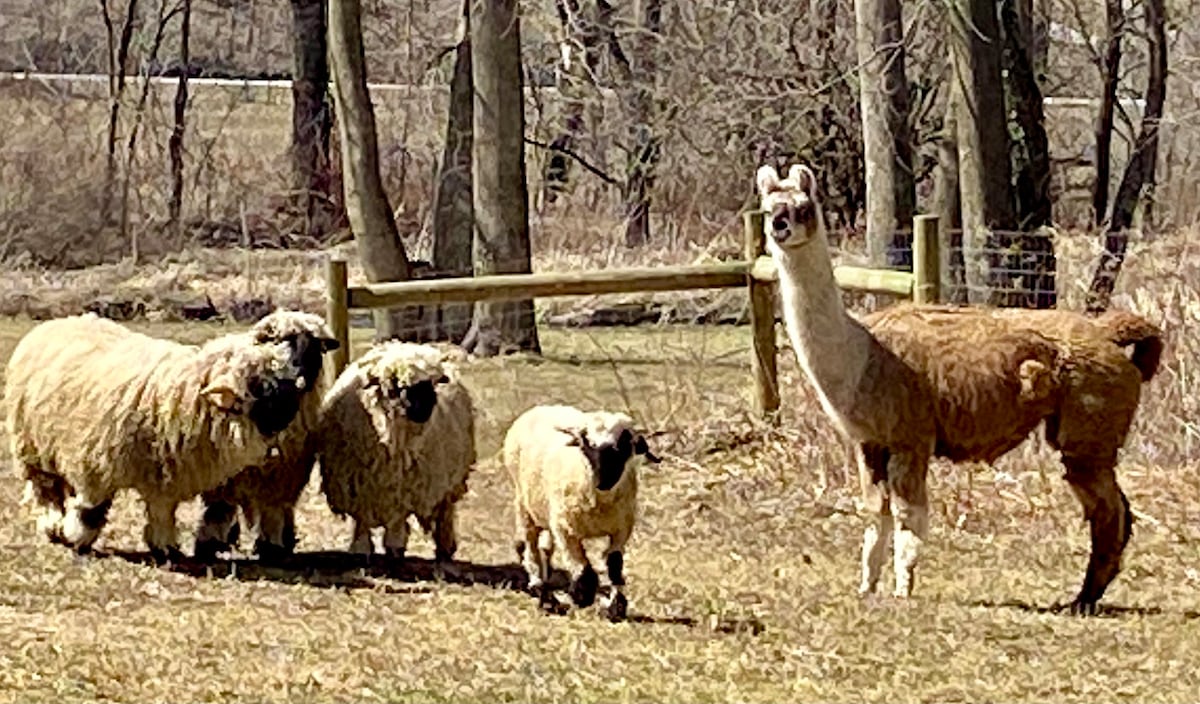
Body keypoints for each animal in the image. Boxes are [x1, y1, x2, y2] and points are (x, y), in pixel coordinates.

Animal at [4, 314, 314, 561]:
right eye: (264, 387)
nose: (297, 403)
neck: (183, 395)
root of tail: (59, 321)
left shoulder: (163, 475)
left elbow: (161, 510)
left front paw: (165, 547)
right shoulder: (96, 466)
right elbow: (92, 509)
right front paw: (76, 537)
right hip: (31, 448)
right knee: (46, 490)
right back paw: (53, 526)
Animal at [192, 311, 340, 563]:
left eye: (315, 347)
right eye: (281, 341)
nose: (298, 376)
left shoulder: (282, 475)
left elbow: (273, 509)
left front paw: (272, 547)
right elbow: (218, 508)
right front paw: (207, 545)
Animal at [312, 338, 475, 563]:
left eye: (431, 384)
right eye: (396, 386)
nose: (426, 409)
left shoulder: (404, 487)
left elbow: (397, 518)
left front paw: (394, 546)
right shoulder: (357, 486)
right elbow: (362, 519)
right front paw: (360, 547)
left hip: (449, 478)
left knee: (445, 511)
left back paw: (444, 547)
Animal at [499, 405, 662, 618]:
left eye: (625, 444)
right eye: (587, 444)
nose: (604, 481)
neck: (599, 503)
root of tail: (541, 407)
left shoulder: (622, 529)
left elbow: (614, 566)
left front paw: (616, 607)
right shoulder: (566, 529)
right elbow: (583, 570)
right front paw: (581, 596)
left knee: (545, 550)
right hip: (524, 505)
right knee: (530, 548)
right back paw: (542, 591)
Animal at [758, 160, 1142, 611]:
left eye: (803, 208)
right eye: (768, 209)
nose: (780, 227)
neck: (862, 356)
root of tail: (1109, 335)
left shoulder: (911, 437)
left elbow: (908, 515)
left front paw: (903, 587)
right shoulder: (870, 442)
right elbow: (874, 514)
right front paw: (867, 586)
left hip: (1089, 425)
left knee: (1108, 512)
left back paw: (1082, 599)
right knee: (1117, 509)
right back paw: (1087, 594)